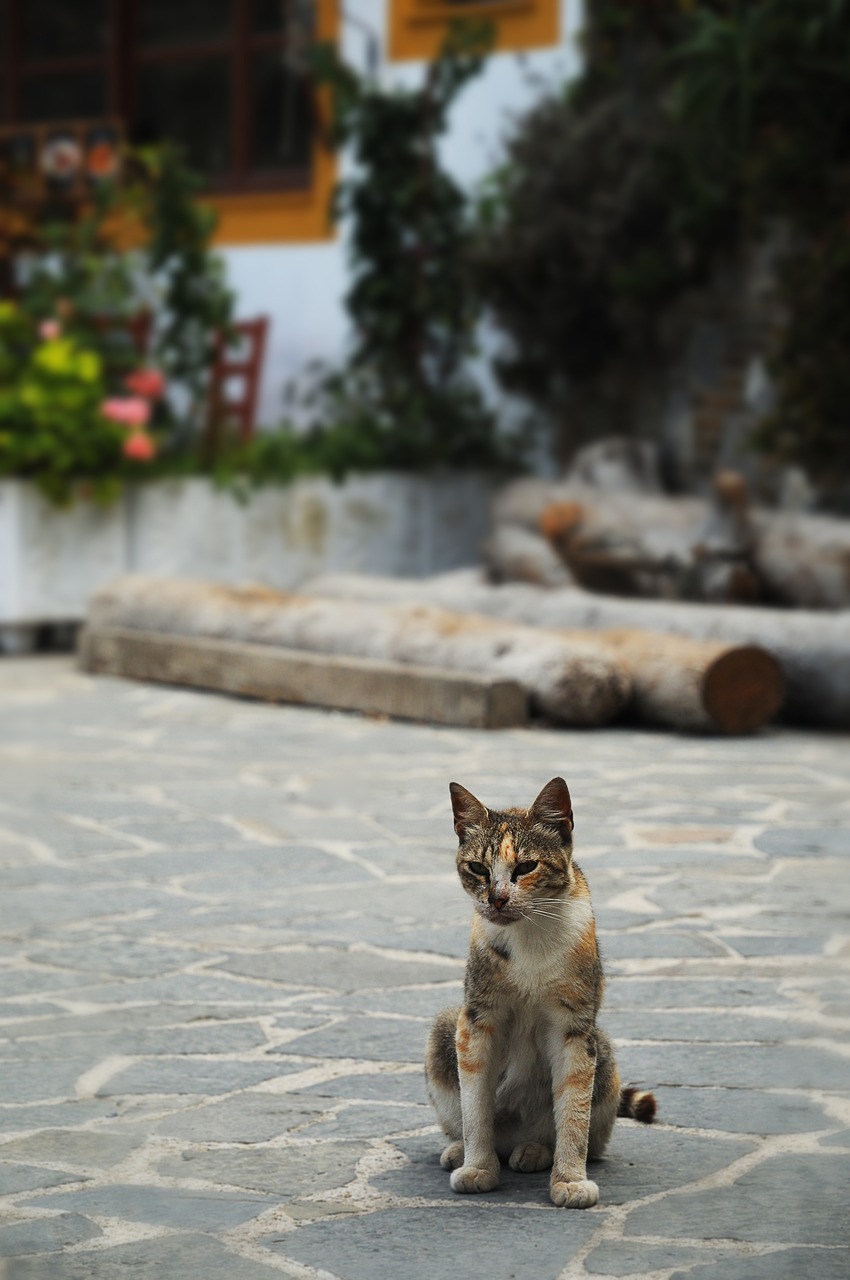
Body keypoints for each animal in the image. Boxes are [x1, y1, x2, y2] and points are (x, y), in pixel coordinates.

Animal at [425, 773, 655, 1203]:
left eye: (526, 867)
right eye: (477, 868)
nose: (497, 899)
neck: (528, 938)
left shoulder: (574, 1026)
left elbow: (574, 1110)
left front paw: (569, 1180)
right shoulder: (477, 1020)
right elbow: (475, 1105)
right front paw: (478, 1167)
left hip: (604, 1051)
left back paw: (534, 1150)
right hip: (443, 1030)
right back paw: (461, 1150)